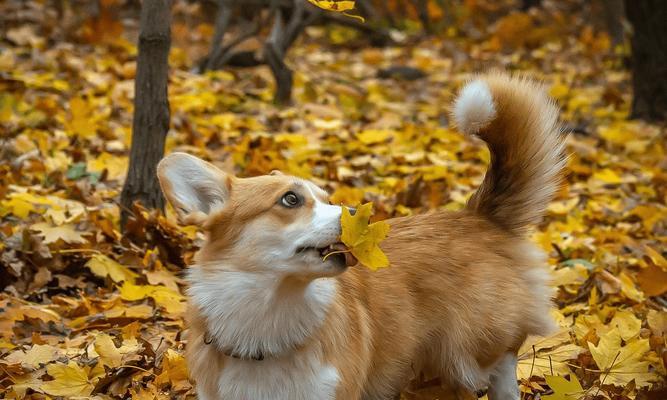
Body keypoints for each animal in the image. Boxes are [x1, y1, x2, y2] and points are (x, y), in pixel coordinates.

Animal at [157, 72, 564, 400]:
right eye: (291, 199)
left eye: (326, 197)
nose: (355, 214)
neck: (266, 321)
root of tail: (478, 215)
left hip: (474, 348)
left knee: (502, 366)